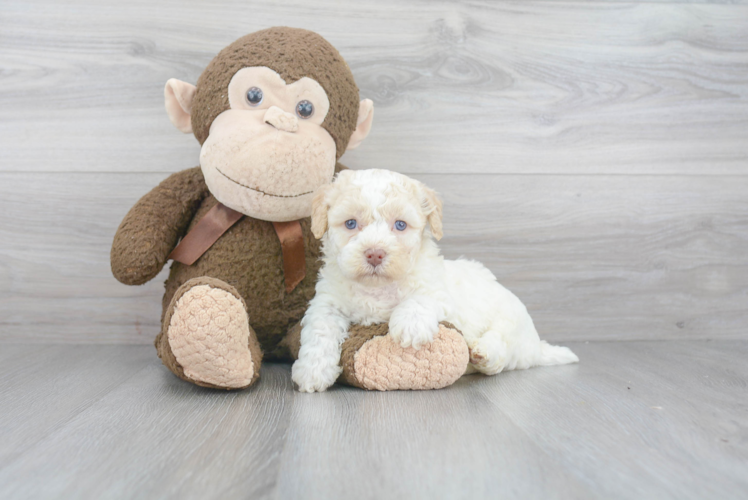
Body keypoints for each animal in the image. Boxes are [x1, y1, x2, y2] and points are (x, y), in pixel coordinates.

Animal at [292, 170, 580, 392]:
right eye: (351, 223)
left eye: (400, 225)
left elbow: (422, 299)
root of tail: (536, 346)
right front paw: (312, 371)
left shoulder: (440, 293)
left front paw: (410, 325)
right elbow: (320, 330)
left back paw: (484, 353)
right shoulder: (327, 302)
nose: (375, 253)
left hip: (511, 320)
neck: (378, 288)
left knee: (502, 348)